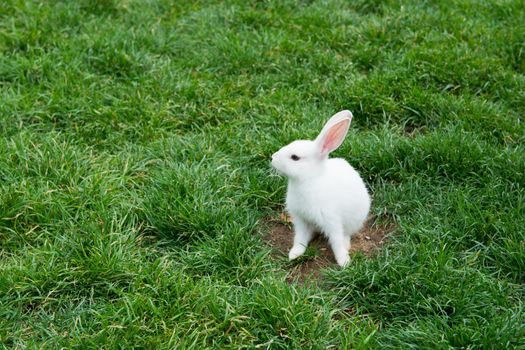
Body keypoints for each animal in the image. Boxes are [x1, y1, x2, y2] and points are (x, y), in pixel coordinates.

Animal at [272, 110, 370, 266]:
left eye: (295, 157)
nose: (273, 157)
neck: (308, 180)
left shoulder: (332, 221)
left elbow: (336, 242)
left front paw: (344, 261)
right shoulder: (301, 219)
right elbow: (300, 238)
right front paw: (294, 254)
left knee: (346, 235)